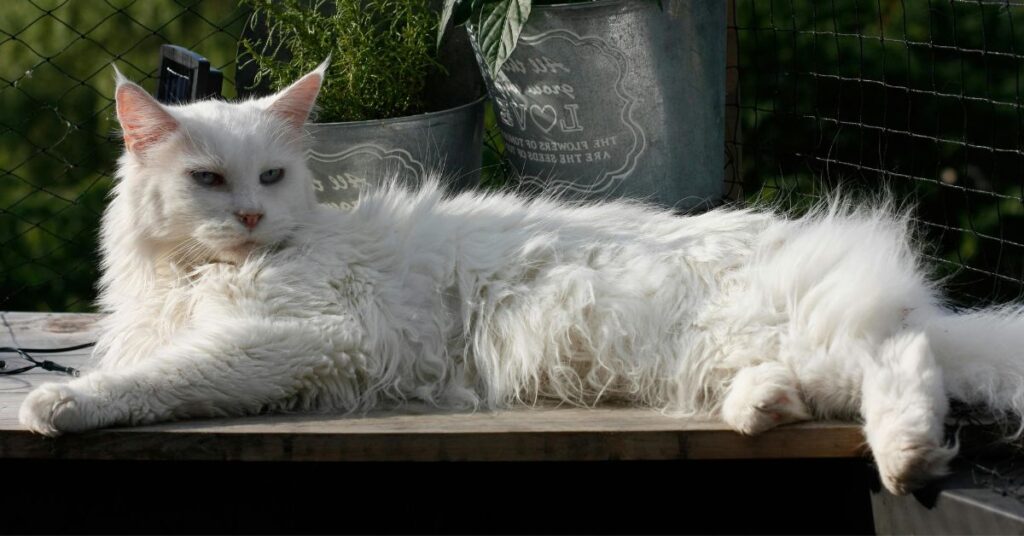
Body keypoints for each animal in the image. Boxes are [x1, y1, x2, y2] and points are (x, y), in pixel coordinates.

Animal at [16, 62, 1024, 496]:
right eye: (206, 180)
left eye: (267, 177)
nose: (253, 219)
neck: (195, 278)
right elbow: (150, 361)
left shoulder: (300, 340)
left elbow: (163, 377)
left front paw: (61, 404)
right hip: (743, 349)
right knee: (853, 375)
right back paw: (761, 408)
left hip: (809, 330)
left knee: (905, 364)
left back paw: (906, 460)